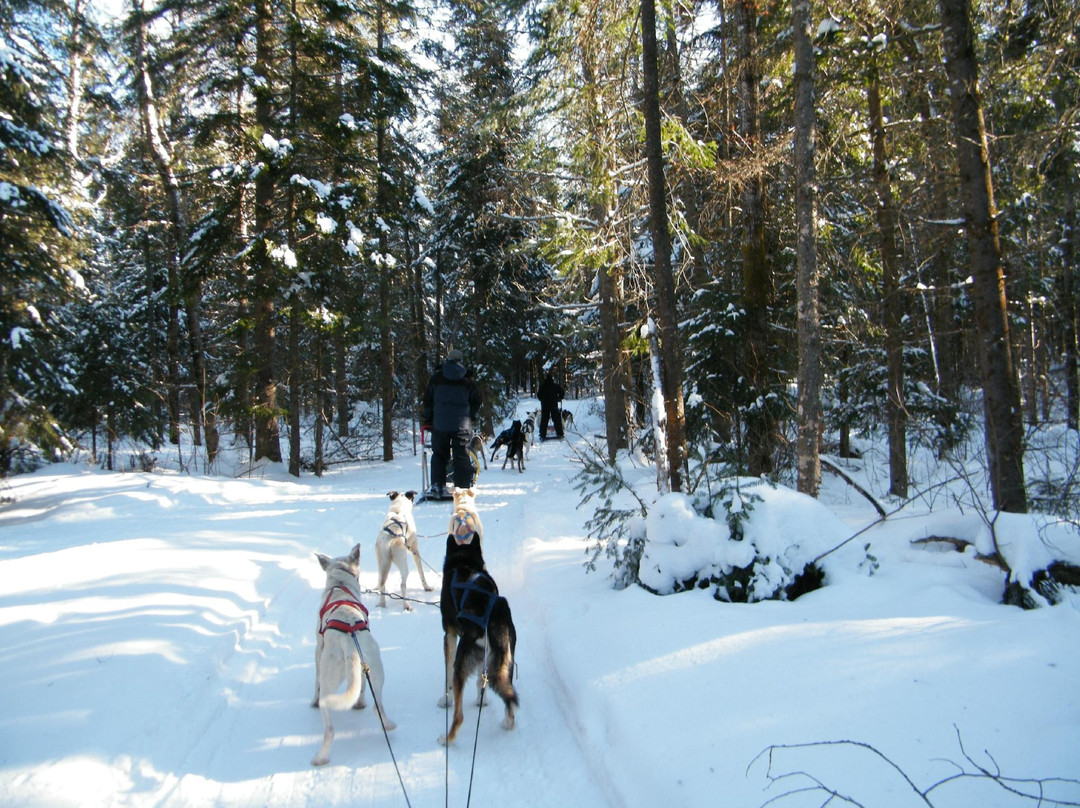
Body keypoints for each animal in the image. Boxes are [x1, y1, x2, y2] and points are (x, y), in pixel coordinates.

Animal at [311, 542, 395, 764]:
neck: (340, 584)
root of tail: (349, 644)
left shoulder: (318, 649)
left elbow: (315, 681)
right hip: (375, 669)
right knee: (377, 705)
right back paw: (386, 723)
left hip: (329, 682)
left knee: (329, 728)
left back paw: (320, 758)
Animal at [436, 512, 516, 743]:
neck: (465, 563)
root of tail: (493, 616)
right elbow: (482, 683)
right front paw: (483, 699)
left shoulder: (449, 635)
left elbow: (446, 675)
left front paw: (445, 699)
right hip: (505, 663)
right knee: (509, 699)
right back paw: (507, 723)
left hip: (462, 661)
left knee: (459, 717)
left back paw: (446, 739)